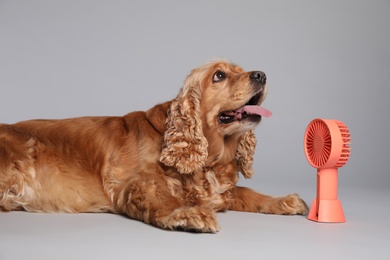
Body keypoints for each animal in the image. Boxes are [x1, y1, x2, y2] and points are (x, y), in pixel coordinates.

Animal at [0, 61, 308, 234]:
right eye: (219, 75)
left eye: (241, 71)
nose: (261, 75)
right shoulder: (135, 184)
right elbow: (164, 199)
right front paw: (188, 214)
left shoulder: (217, 190)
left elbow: (247, 193)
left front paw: (283, 201)